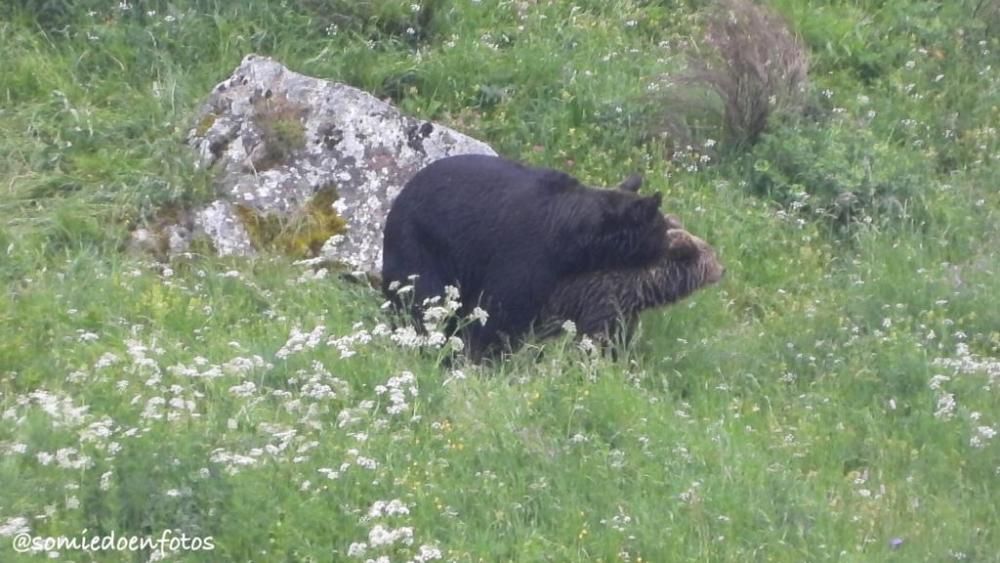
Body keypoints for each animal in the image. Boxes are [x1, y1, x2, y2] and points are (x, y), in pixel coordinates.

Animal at [378, 155, 668, 356]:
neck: (570, 230)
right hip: (419, 245)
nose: (668, 245)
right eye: (663, 230)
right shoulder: (524, 252)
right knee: (423, 298)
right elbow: (501, 310)